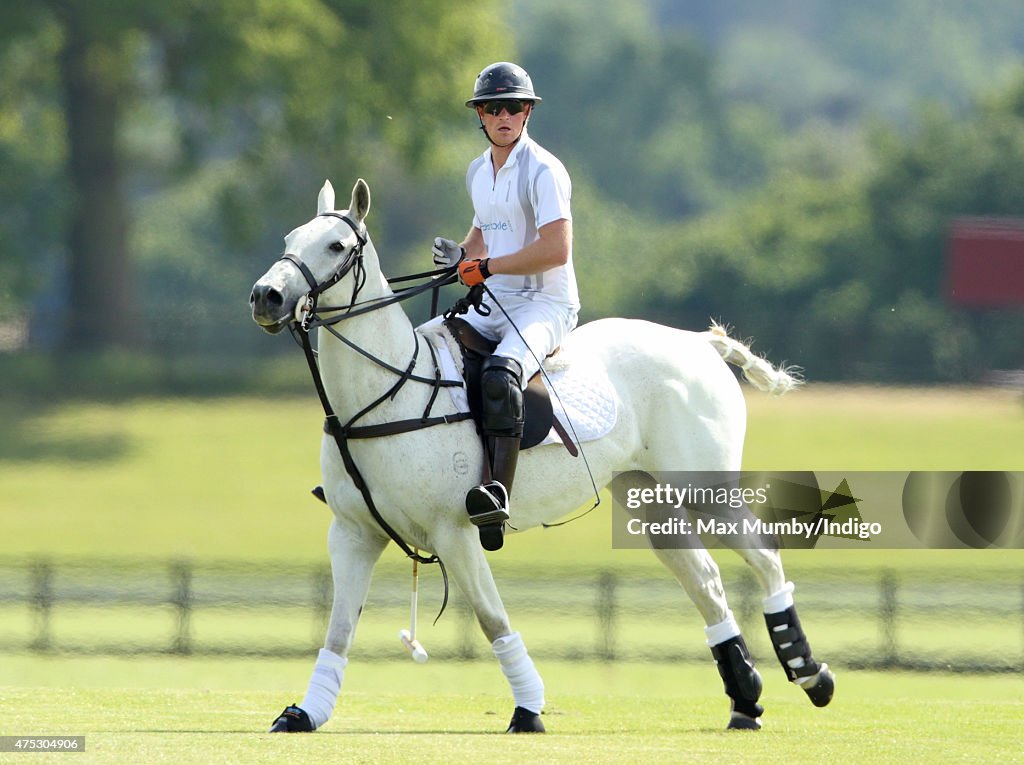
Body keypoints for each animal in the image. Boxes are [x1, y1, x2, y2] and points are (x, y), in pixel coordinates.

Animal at [247, 179, 831, 737]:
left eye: (336, 245)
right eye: (288, 238)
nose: (266, 296)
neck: (386, 393)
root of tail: (697, 344)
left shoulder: (453, 532)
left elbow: (492, 620)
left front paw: (528, 710)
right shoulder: (353, 533)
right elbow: (338, 630)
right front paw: (303, 713)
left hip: (705, 487)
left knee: (763, 554)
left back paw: (809, 674)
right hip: (648, 498)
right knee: (705, 580)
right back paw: (746, 701)